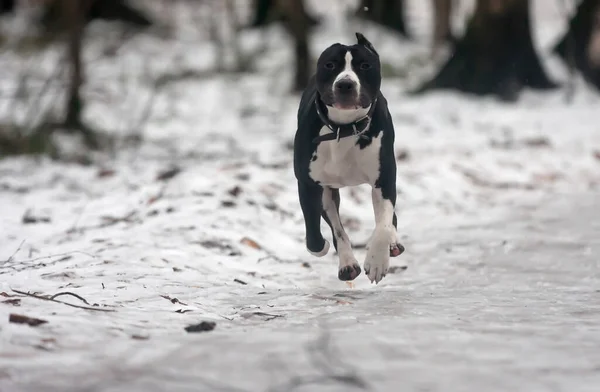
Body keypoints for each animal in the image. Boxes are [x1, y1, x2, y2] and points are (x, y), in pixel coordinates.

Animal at [292, 33, 406, 284]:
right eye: (330, 65)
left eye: (364, 66)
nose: (345, 83)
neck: (343, 128)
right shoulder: (310, 184)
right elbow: (318, 232)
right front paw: (323, 247)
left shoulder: (384, 179)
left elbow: (383, 224)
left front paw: (377, 261)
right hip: (327, 192)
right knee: (336, 226)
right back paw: (347, 264)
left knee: (388, 217)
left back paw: (392, 243)